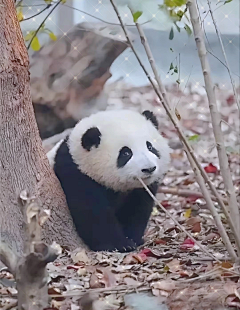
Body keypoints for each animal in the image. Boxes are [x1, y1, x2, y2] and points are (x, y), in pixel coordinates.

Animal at [47, 109, 171, 252]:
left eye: (150, 146)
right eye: (126, 153)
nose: (149, 168)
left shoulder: (141, 189)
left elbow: (137, 208)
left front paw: (133, 238)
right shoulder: (77, 174)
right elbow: (93, 213)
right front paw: (119, 244)